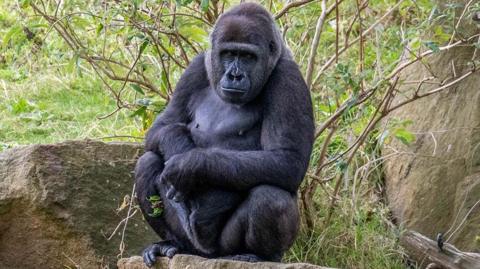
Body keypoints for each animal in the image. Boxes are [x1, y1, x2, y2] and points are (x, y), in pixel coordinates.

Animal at [135, 2, 316, 266]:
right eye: (229, 54)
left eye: (248, 57)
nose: (234, 75)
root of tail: (208, 254)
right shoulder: (197, 67)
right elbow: (163, 126)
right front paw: (180, 150)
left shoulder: (288, 78)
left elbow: (287, 159)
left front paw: (189, 165)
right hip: (194, 245)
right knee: (147, 162)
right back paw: (172, 244)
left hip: (223, 248)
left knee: (270, 196)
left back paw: (258, 255)